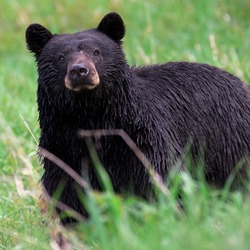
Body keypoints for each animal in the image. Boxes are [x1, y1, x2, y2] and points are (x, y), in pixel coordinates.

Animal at [25, 11, 250, 224]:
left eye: (96, 52)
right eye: (61, 57)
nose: (80, 71)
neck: (92, 117)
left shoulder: (140, 141)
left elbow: (158, 178)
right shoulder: (61, 148)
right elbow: (69, 192)